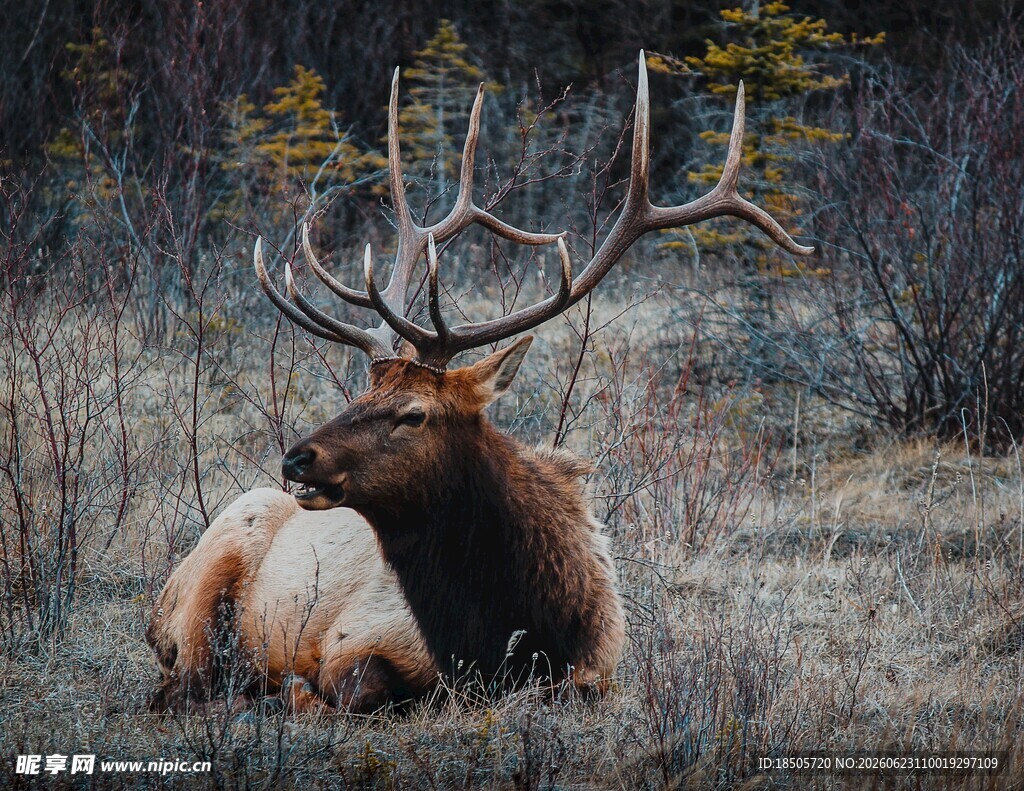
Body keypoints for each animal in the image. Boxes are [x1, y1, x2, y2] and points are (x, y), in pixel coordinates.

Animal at [147, 51, 812, 715]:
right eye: (361, 395)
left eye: (413, 412)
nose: (297, 459)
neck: (508, 631)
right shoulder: (353, 636)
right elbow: (350, 688)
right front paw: (291, 688)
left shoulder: (597, 669)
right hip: (213, 571)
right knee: (182, 683)